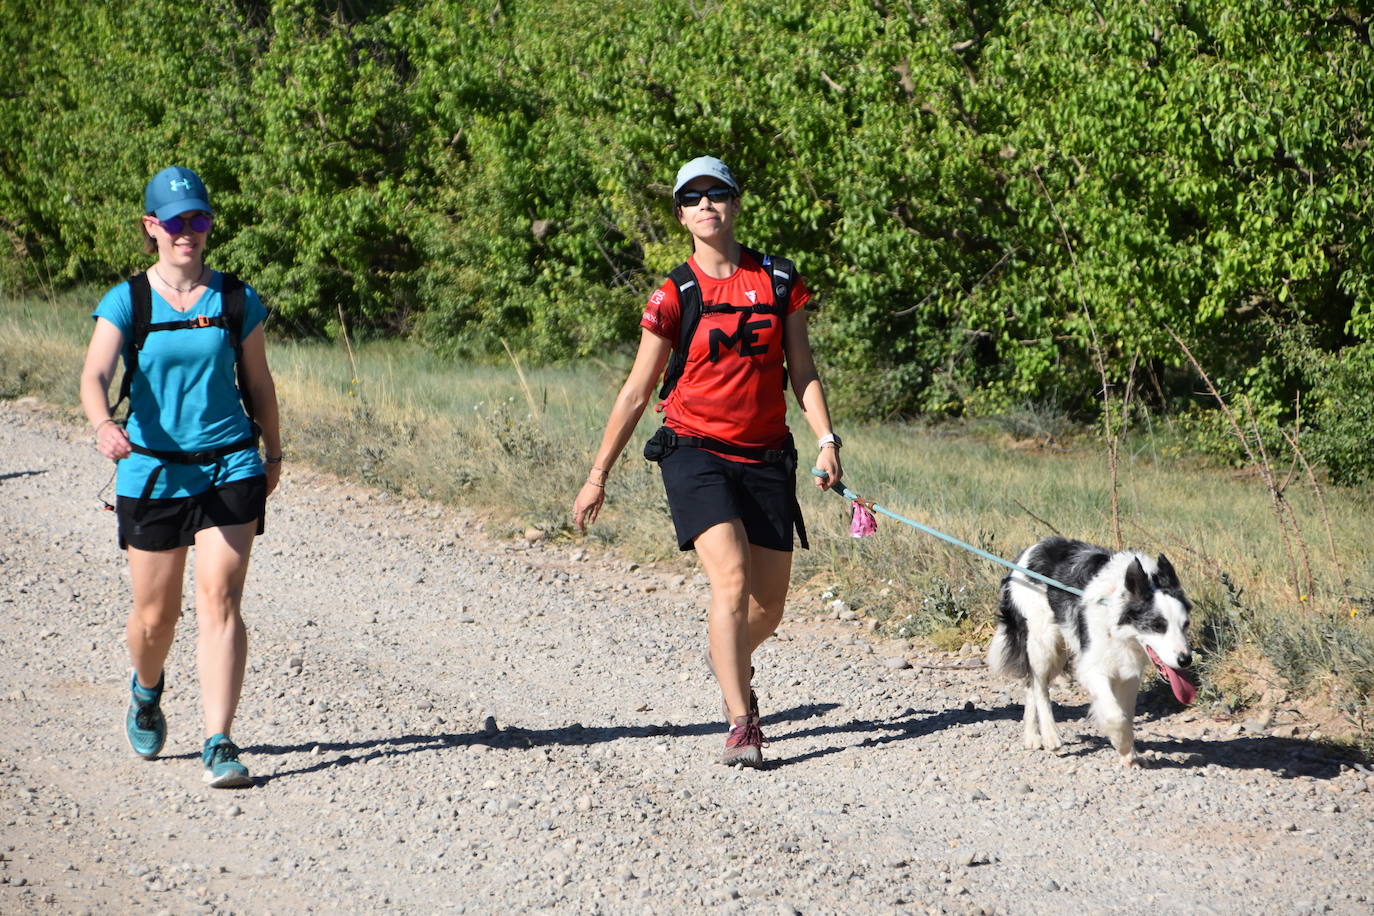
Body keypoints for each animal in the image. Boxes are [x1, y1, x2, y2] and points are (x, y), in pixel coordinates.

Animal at [989, 538, 1192, 769]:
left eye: (1186, 624)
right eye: (1158, 625)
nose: (1186, 660)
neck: (1114, 604)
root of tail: (1030, 550)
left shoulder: (1129, 674)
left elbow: (1126, 715)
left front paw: (1129, 754)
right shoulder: (1092, 669)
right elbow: (1116, 715)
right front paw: (1122, 745)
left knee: (1031, 683)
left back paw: (1032, 736)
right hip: (1043, 641)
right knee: (1039, 687)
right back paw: (1050, 736)